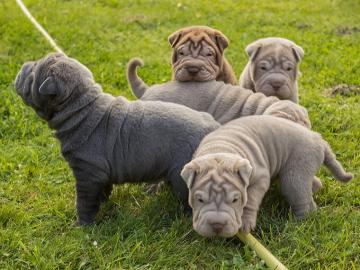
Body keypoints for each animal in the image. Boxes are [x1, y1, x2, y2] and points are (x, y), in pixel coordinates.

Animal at [14, 52, 219, 226]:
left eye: (32, 75)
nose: (24, 65)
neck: (82, 108)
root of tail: (214, 127)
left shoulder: (86, 172)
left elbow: (83, 201)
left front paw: (81, 225)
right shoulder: (99, 173)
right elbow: (103, 189)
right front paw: (103, 202)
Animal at [180, 115, 352, 237]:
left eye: (235, 200)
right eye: (200, 200)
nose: (217, 225)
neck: (220, 149)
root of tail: (319, 139)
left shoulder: (259, 178)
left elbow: (250, 200)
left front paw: (246, 223)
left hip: (296, 171)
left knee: (302, 199)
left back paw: (297, 224)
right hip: (300, 168)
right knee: (313, 184)